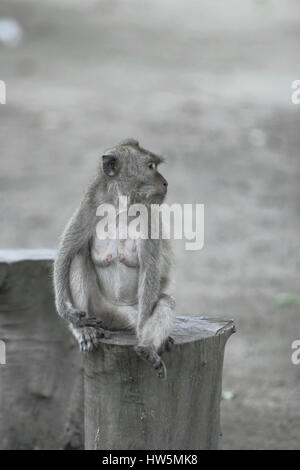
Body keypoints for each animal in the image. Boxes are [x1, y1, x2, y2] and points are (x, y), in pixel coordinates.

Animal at [53, 137, 175, 378]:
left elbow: (150, 269)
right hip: (96, 308)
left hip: (127, 315)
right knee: (78, 258)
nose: (165, 183)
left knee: (164, 302)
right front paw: (67, 313)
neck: (121, 205)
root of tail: (110, 320)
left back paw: (147, 347)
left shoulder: (148, 217)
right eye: (150, 167)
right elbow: (66, 253)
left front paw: (146, 336)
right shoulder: (90, 205)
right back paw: (84, 329)